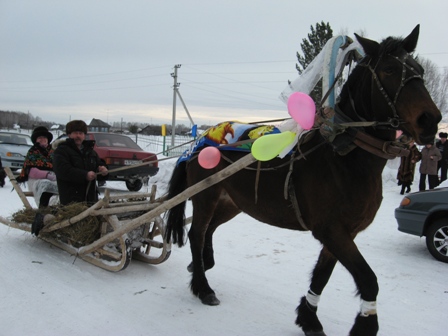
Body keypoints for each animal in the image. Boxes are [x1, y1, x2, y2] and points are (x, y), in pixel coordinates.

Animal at [164, 24, 440, 336]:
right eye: (390, 70)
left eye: (419, 69)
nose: (430, 120)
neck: (343, 156)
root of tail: (199, 141)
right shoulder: (332, 230)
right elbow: (368, 279)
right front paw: (365, 324)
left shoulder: (343, 233)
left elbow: (321, 275)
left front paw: (308, 316)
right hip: (206, 195)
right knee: (197, 234)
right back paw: (202, 287)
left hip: (232, 202)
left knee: (208, 230)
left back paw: (203, 264)